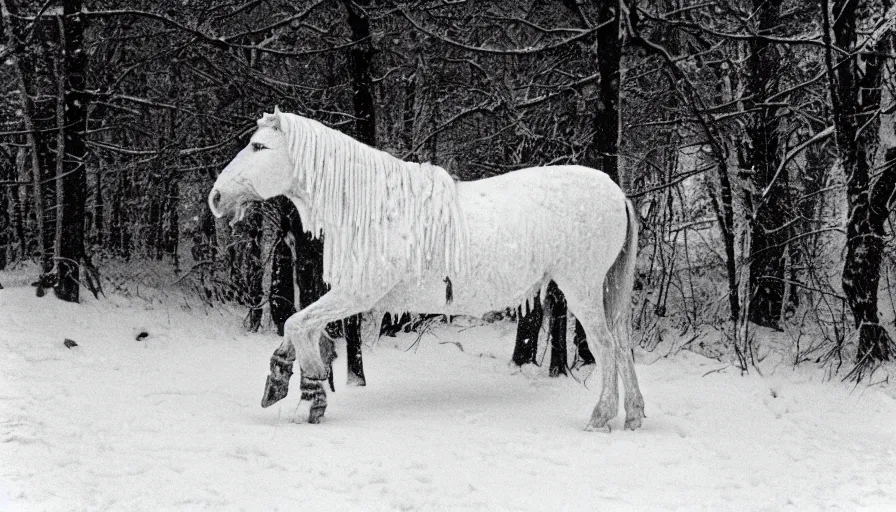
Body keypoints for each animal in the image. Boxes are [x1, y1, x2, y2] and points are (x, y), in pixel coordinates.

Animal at [210, 109, 644, 432]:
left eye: (259, 146)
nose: (216, 197)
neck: (373, 208)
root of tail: (616, 191)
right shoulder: (349, 295)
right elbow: (300, 327)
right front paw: (283, 381)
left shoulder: (357, 293)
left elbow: (297, 324)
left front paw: (312, 395)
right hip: (605, 289)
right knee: (622, 344)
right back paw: (634, 415)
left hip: (582, 288)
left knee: (606, 346)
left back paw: (601, 417)